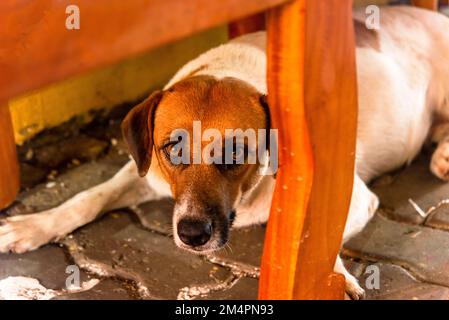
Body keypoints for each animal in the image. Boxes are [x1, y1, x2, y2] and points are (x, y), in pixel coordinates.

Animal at [0, 5, 448, 300]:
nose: (192, 234)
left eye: (236, 152)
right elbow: (89, 197)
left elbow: (313, 235)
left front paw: (332, 277)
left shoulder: (348, 193)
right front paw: (34, 225)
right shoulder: (144, 172)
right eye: (172, 148)